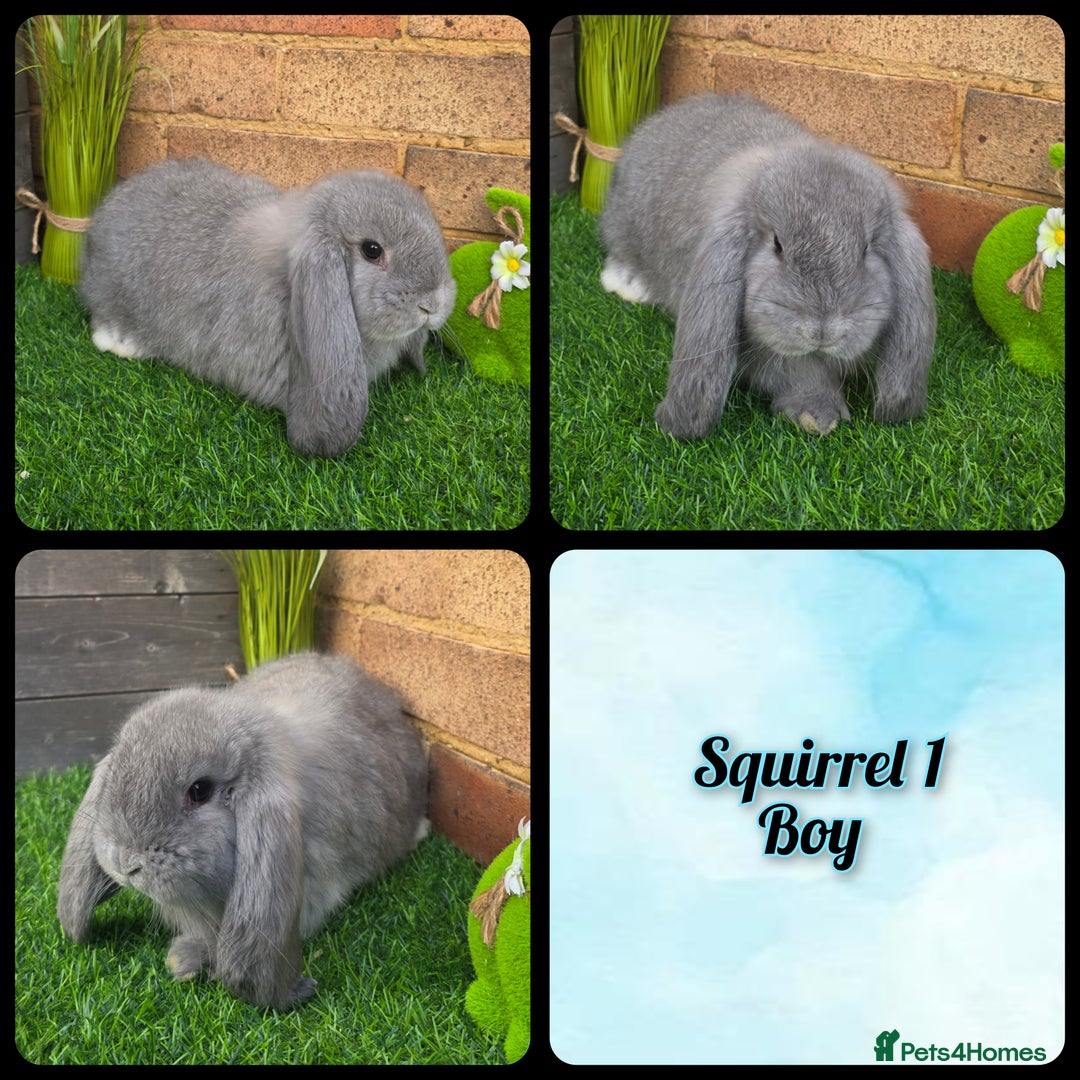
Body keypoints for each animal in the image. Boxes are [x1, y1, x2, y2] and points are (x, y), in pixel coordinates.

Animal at [600, 93, 937, 437]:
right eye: (777, 244)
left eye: (867, 248)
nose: (823, 331)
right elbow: (797, 372)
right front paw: (816, 415)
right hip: (621, 224)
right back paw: (627, 284)